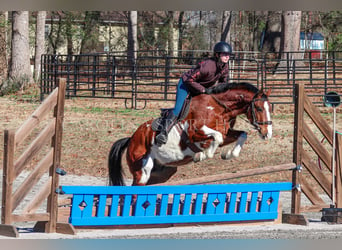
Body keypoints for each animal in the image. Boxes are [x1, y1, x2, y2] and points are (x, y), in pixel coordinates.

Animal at [108, 82, 272, 186]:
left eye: (270, 107)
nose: (267, 134)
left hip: (162, 173)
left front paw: (228, 154)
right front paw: (203, 155)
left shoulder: (227, 134)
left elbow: (241, 135)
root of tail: (131, 139)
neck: (218, 108)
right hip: (141, 171)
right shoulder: (195, 132)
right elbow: (216, 137)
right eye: (258, 108)